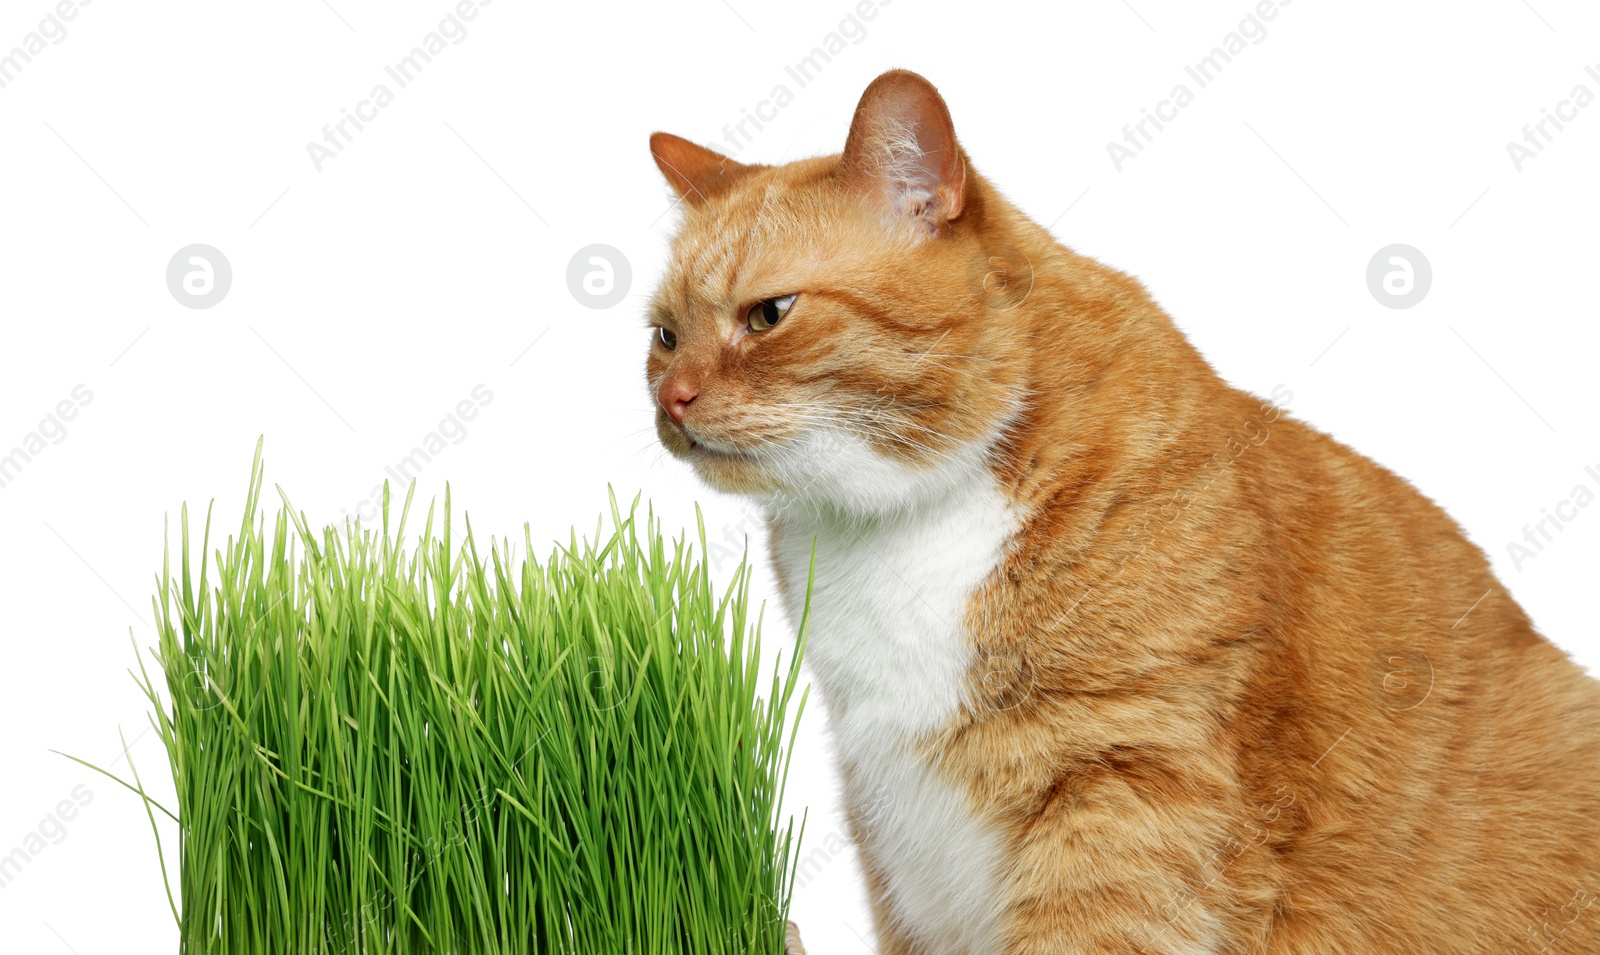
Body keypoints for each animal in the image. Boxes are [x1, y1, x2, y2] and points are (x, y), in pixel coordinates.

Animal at [643, 70, 1593, 947]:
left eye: (769, 314)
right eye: (663, 335)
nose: (673, 399)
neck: (892, 530)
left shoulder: (1128, 787)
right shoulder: (893, 824)